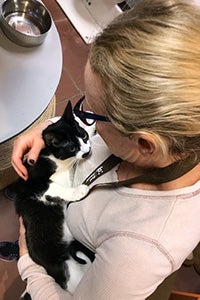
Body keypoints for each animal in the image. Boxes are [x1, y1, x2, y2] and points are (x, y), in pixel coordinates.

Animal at [10, 101, 95, 296]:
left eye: (84, 136)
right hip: (65, 267)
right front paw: (79, 190)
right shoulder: (30, 185)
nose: (87, 151)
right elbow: (55, 187)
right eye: (72, 148)